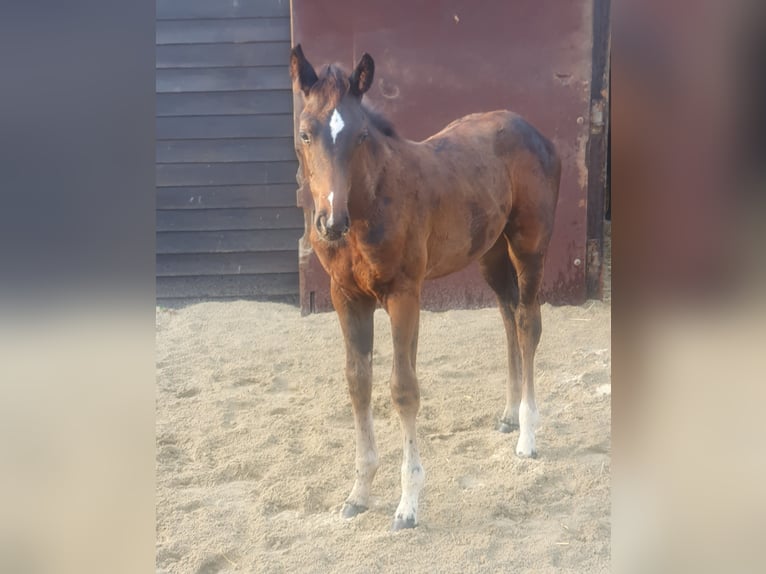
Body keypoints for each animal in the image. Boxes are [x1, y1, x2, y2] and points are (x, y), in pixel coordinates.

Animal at [292, 45, 560, 532]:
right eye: (305, 133)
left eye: (360, 135)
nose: (331, 223)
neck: (370, 204)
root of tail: (535, 133)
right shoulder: (346, 297)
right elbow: (358, 382)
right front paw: (358, 493)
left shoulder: (404, 295)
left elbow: (403, 389)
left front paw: (408, 504)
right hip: (490, 253)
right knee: (508, 317)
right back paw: (509, 416)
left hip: (529, 246)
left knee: (528, 324)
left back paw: (528, 436)